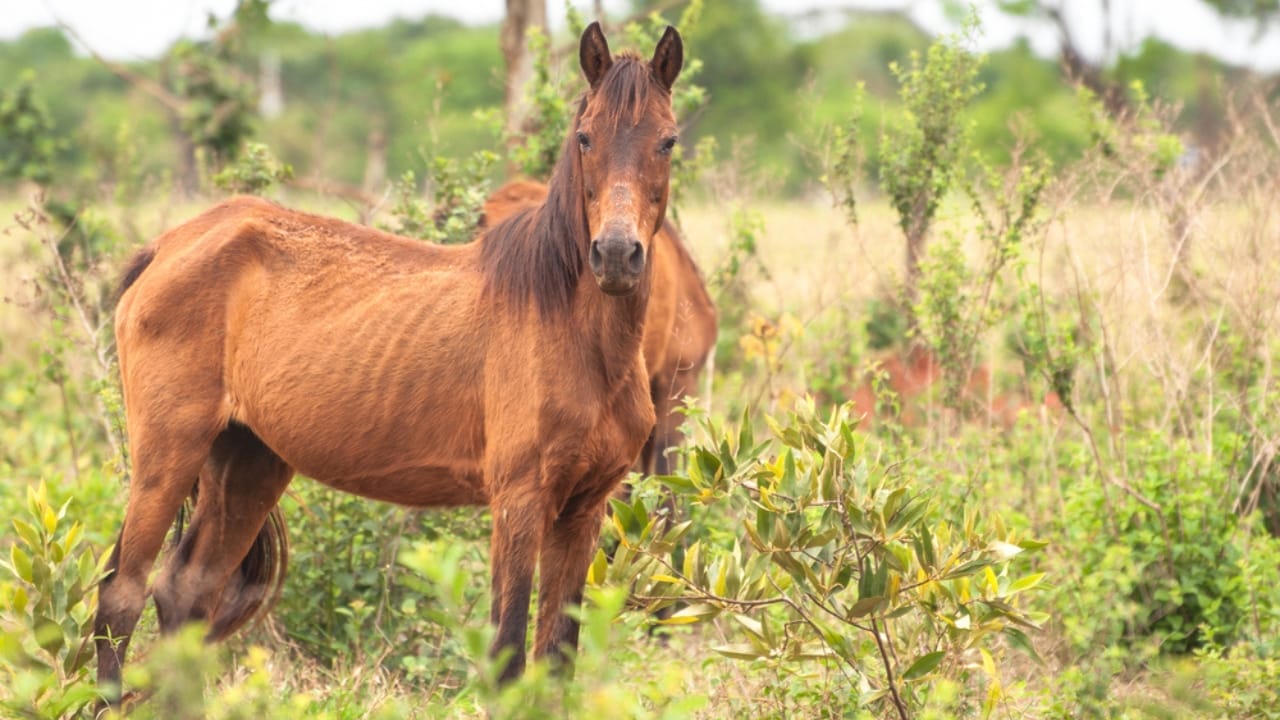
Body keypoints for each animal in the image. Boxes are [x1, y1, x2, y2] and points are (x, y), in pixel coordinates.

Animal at [94, 21, 684, 701]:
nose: (615, 255)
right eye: (585, 136)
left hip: (247, 461)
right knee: (121, 595)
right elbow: (508, 655)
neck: (572, 333)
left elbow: (555, 661)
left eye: (668, 141)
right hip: (168, 451)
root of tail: (168, 246)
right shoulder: (520, 501)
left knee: (185, 592)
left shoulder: (582, 510)